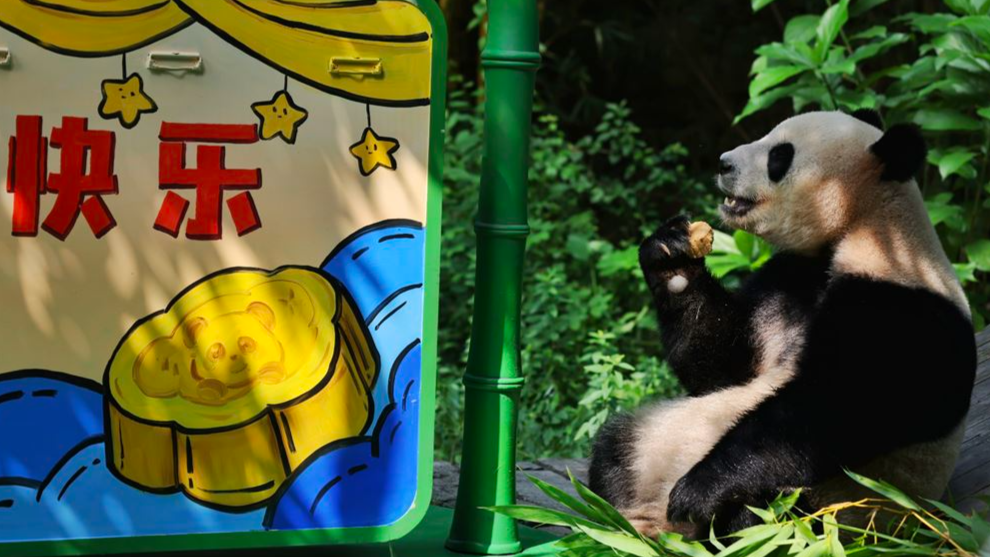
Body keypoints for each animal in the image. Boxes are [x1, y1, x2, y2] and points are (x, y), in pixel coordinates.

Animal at [588, 110, 977, 538]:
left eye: (780, 156)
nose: (723, 163)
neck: (865, 228)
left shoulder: (902, 309)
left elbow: (836, 405)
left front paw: (697, 492)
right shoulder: (787, 278)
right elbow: (724, 367)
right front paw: (672, 254)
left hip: (835, 509)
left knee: (761, 514)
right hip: (653, 438)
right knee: (613, 446)